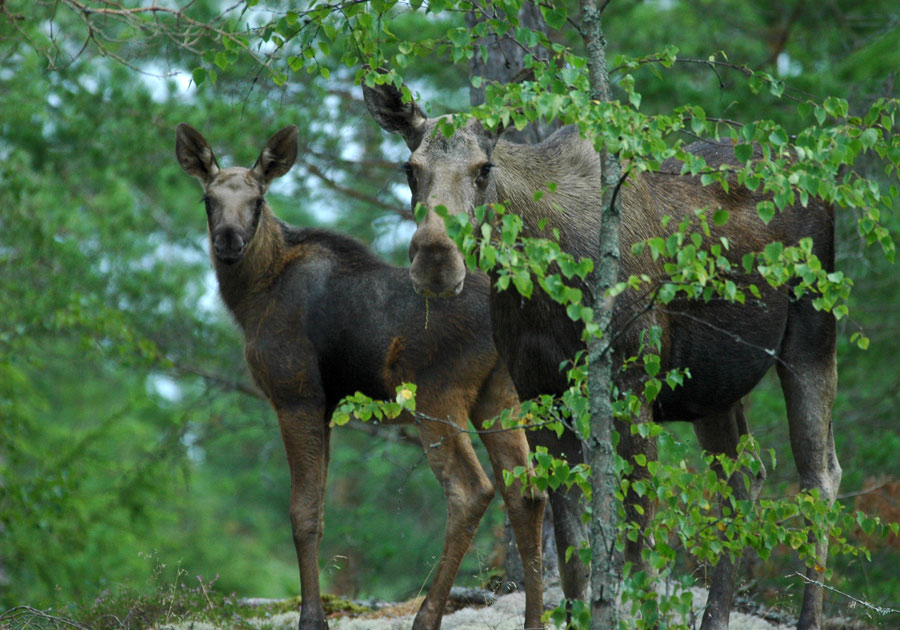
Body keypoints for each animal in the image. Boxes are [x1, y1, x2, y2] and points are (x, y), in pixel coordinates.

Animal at [172, 123, 544, 630]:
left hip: (435, 394)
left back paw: (426, 616)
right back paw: (537, 619)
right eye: (208, 199)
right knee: (527, 492)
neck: (249, 297)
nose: (228, 241)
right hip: (498, 395)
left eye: (258, 200)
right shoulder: (326, 407)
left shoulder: (296, 395)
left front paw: (312, 618)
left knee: (471, 491)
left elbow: (303, 513)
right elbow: (321, 510)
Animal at [362, 80, 840, 630]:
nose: (436, 260)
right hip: (713, 388)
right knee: (746, 478)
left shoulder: (631, 387)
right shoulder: (540, 395)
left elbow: (638, 549)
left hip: (812, 337)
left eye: (484, 168)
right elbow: (573, 552)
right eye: (410, 169)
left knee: (819, 478)